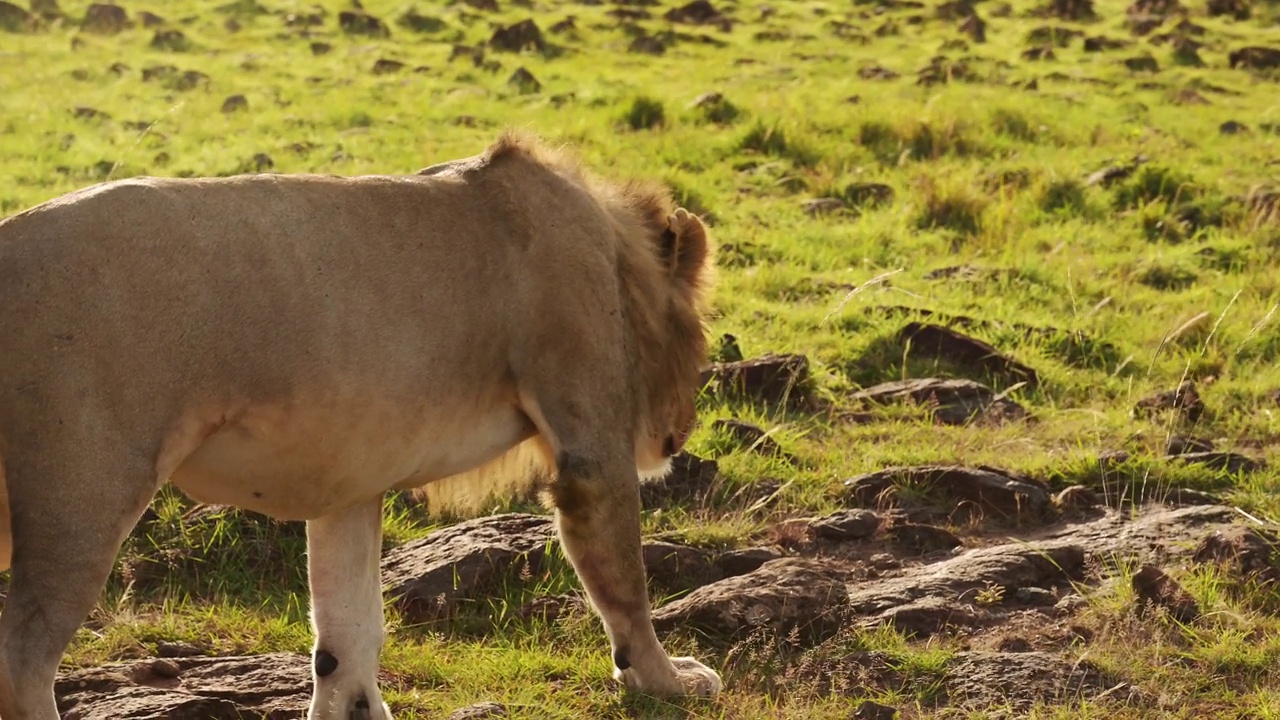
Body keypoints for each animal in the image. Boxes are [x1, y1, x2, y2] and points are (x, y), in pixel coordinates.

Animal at [0, 130, 721, 717]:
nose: (678, 432)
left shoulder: (349, 485)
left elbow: (348, 630)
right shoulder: (589, 446)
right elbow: (625, 581)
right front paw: (670, 680)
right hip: (83, 498)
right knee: (22, 661)